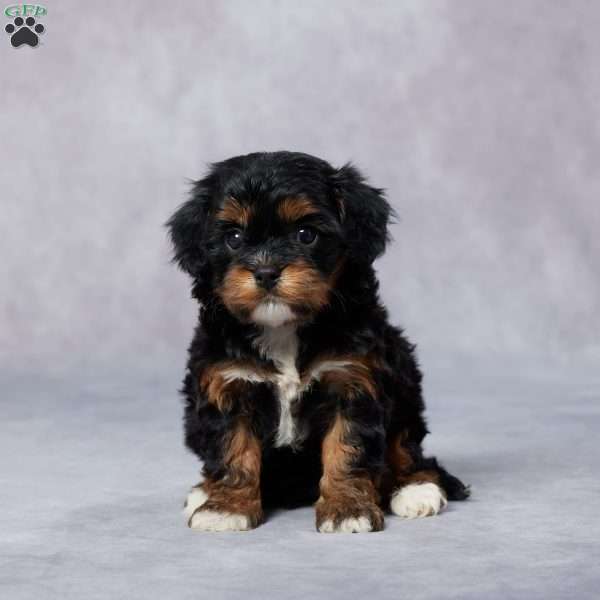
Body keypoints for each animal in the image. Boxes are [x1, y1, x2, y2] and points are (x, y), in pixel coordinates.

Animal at [169, 151, 468, 536]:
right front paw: (225, 507)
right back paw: (202, 492)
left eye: (306, 234)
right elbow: (232, 449)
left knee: (406, 446)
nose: (266, 272)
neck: (283, 328)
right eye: (233, 238)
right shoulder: (227, 383)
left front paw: (347, 510)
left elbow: (347, 448)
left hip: (404, 382)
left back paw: (416, 489)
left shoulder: (353, 379)